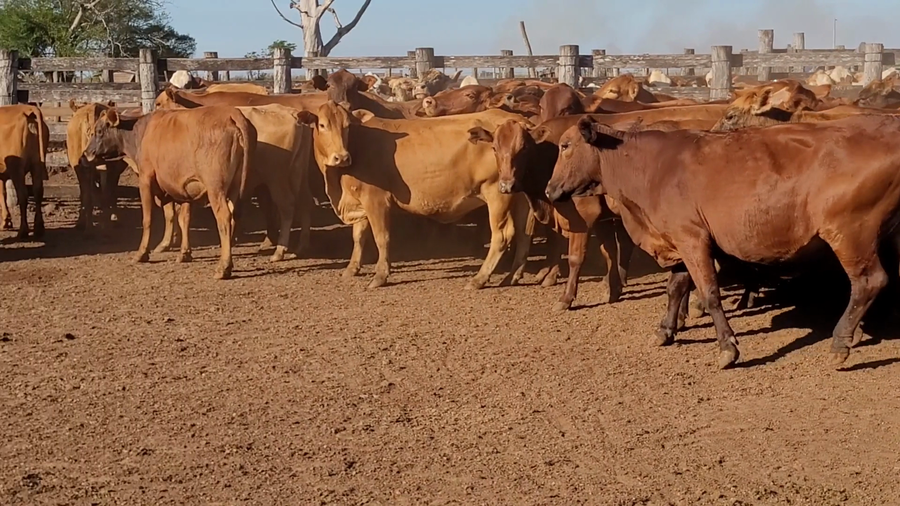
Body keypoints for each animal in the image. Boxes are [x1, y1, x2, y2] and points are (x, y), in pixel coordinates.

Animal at [0, 104, 48, 239]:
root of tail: (29, 110)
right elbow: (3, 193)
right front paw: (6, 221)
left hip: (17, 168)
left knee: (23, 194)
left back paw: (23, 231)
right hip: (37, 164)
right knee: (38, 191)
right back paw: (39, 228)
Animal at [83, 106, 257, 279]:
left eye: (99, 131)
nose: (86, 153)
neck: (141, 132)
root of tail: (233, 114)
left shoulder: (146, 179)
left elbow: (148, 219)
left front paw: (141, 254)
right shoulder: (184, 188)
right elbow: (183, 219)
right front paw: (184, 254)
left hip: (216, 188)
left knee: (224, 217)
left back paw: (223, 267)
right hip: (235, 187)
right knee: (233, 215)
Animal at [300, 100, 532, 289]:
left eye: (347, 126)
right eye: (323, 125)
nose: (342, 157)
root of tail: (519, 121)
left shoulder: (376, 200)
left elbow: (382, 238)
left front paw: (380, 276)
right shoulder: (360, 201)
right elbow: (358, 237)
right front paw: (351, 268)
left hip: (497, 193)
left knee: (502, 235)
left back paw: (479, 279)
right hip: (519, 196)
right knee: (524, 234)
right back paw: (511, 276)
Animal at [546, 114, 900, 369]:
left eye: (565, 145)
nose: (549, 190)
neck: (650, 166)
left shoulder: (692, 239)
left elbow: (709, 293)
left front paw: (727, 346)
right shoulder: (678, 242)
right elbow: (675, 289)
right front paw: (665, 330)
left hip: (850, 234)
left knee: (869, 282)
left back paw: (841, 342)